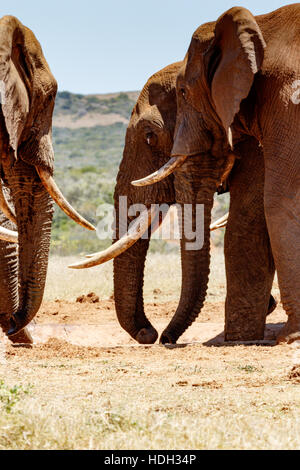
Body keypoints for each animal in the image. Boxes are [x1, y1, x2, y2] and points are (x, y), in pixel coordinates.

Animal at [134, 2, 300, 342]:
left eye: (149, 137)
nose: (156, 336)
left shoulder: (285, 102)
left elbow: (279, 200)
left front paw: (288, 337)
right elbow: (249, 219)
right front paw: (243, 338)